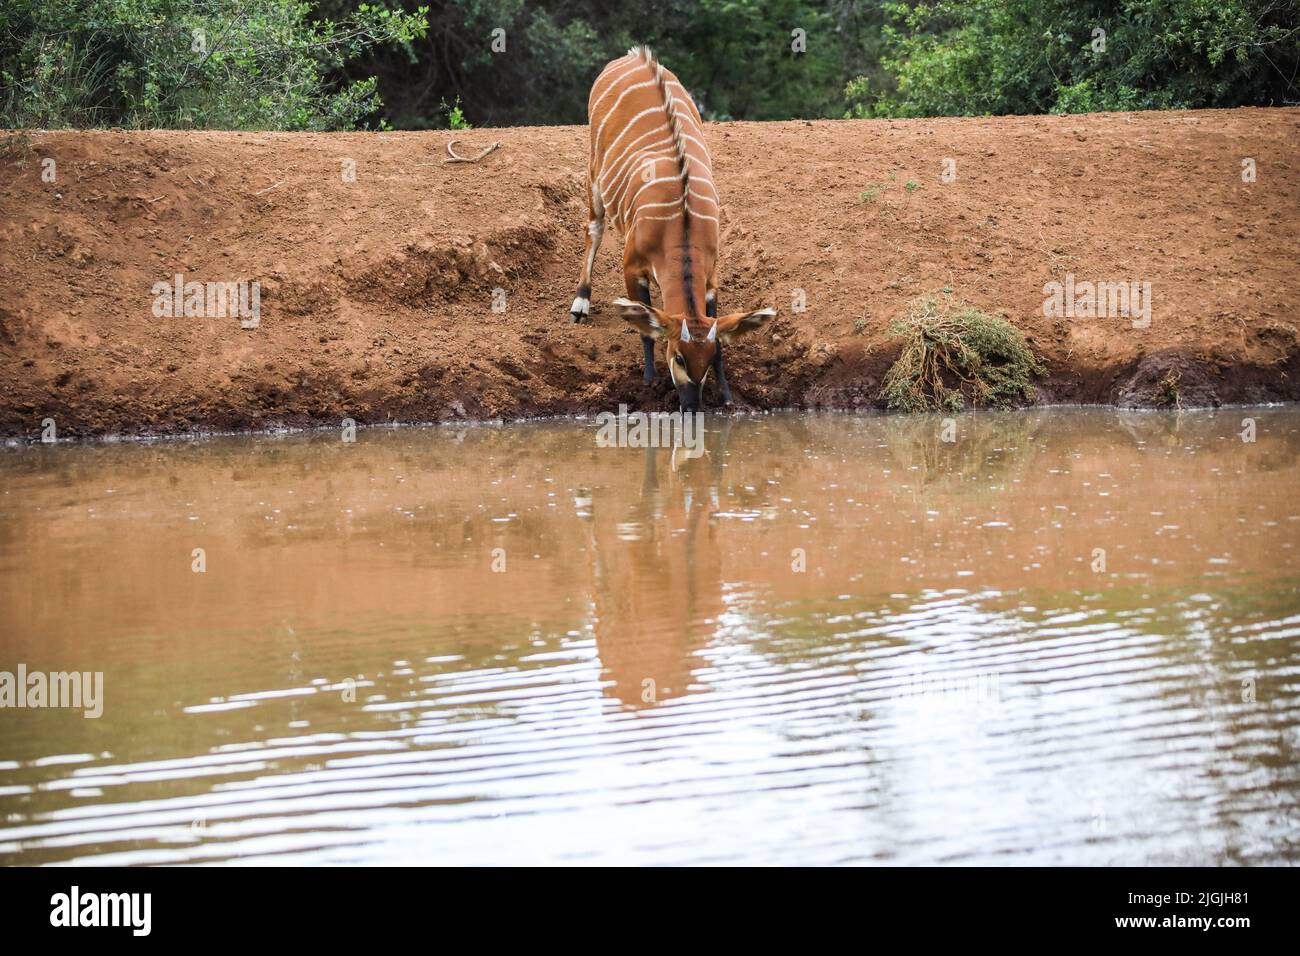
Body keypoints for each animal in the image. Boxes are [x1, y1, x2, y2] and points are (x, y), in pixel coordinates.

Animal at [566, 47, 769, 411]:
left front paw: (727, 394)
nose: (691, 405)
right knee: (593, 228)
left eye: (705, 360)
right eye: (678, 357)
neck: (681, 224)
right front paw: (648, 382)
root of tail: (634, 55)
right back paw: (581, 303)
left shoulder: (711, 275)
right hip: (594, 174)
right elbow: (646, 328)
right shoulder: (632, 266)